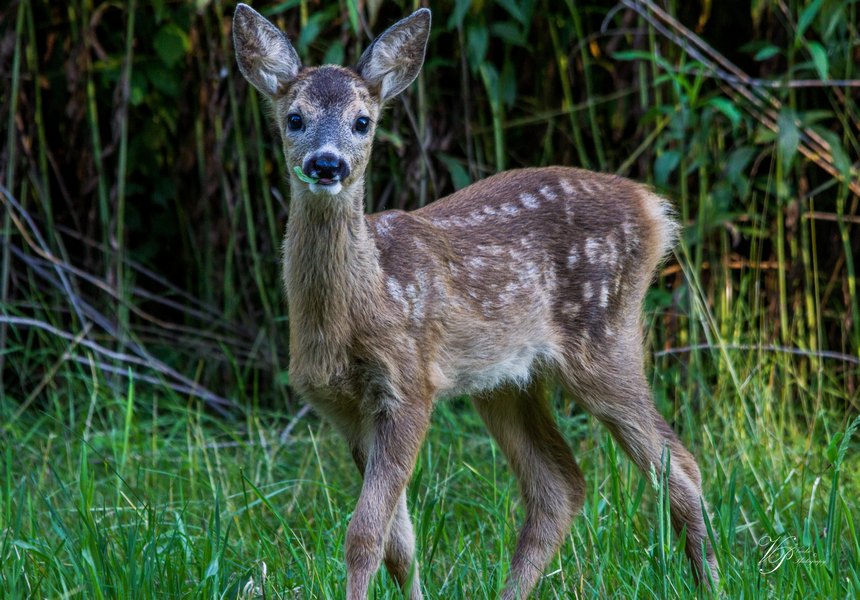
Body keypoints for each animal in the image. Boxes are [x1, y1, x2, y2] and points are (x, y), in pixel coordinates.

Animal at [233, 5, 720, 600]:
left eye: (362, 122)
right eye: (295, 118)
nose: (327, 165)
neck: (366, 300)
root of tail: (655, 209)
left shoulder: (409, 384)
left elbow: (365, 534)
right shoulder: (346, 410)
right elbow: (399, 544)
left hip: (604, 338)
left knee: (681, 466)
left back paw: (713, 582)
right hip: (506, 381)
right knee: (560, 486)